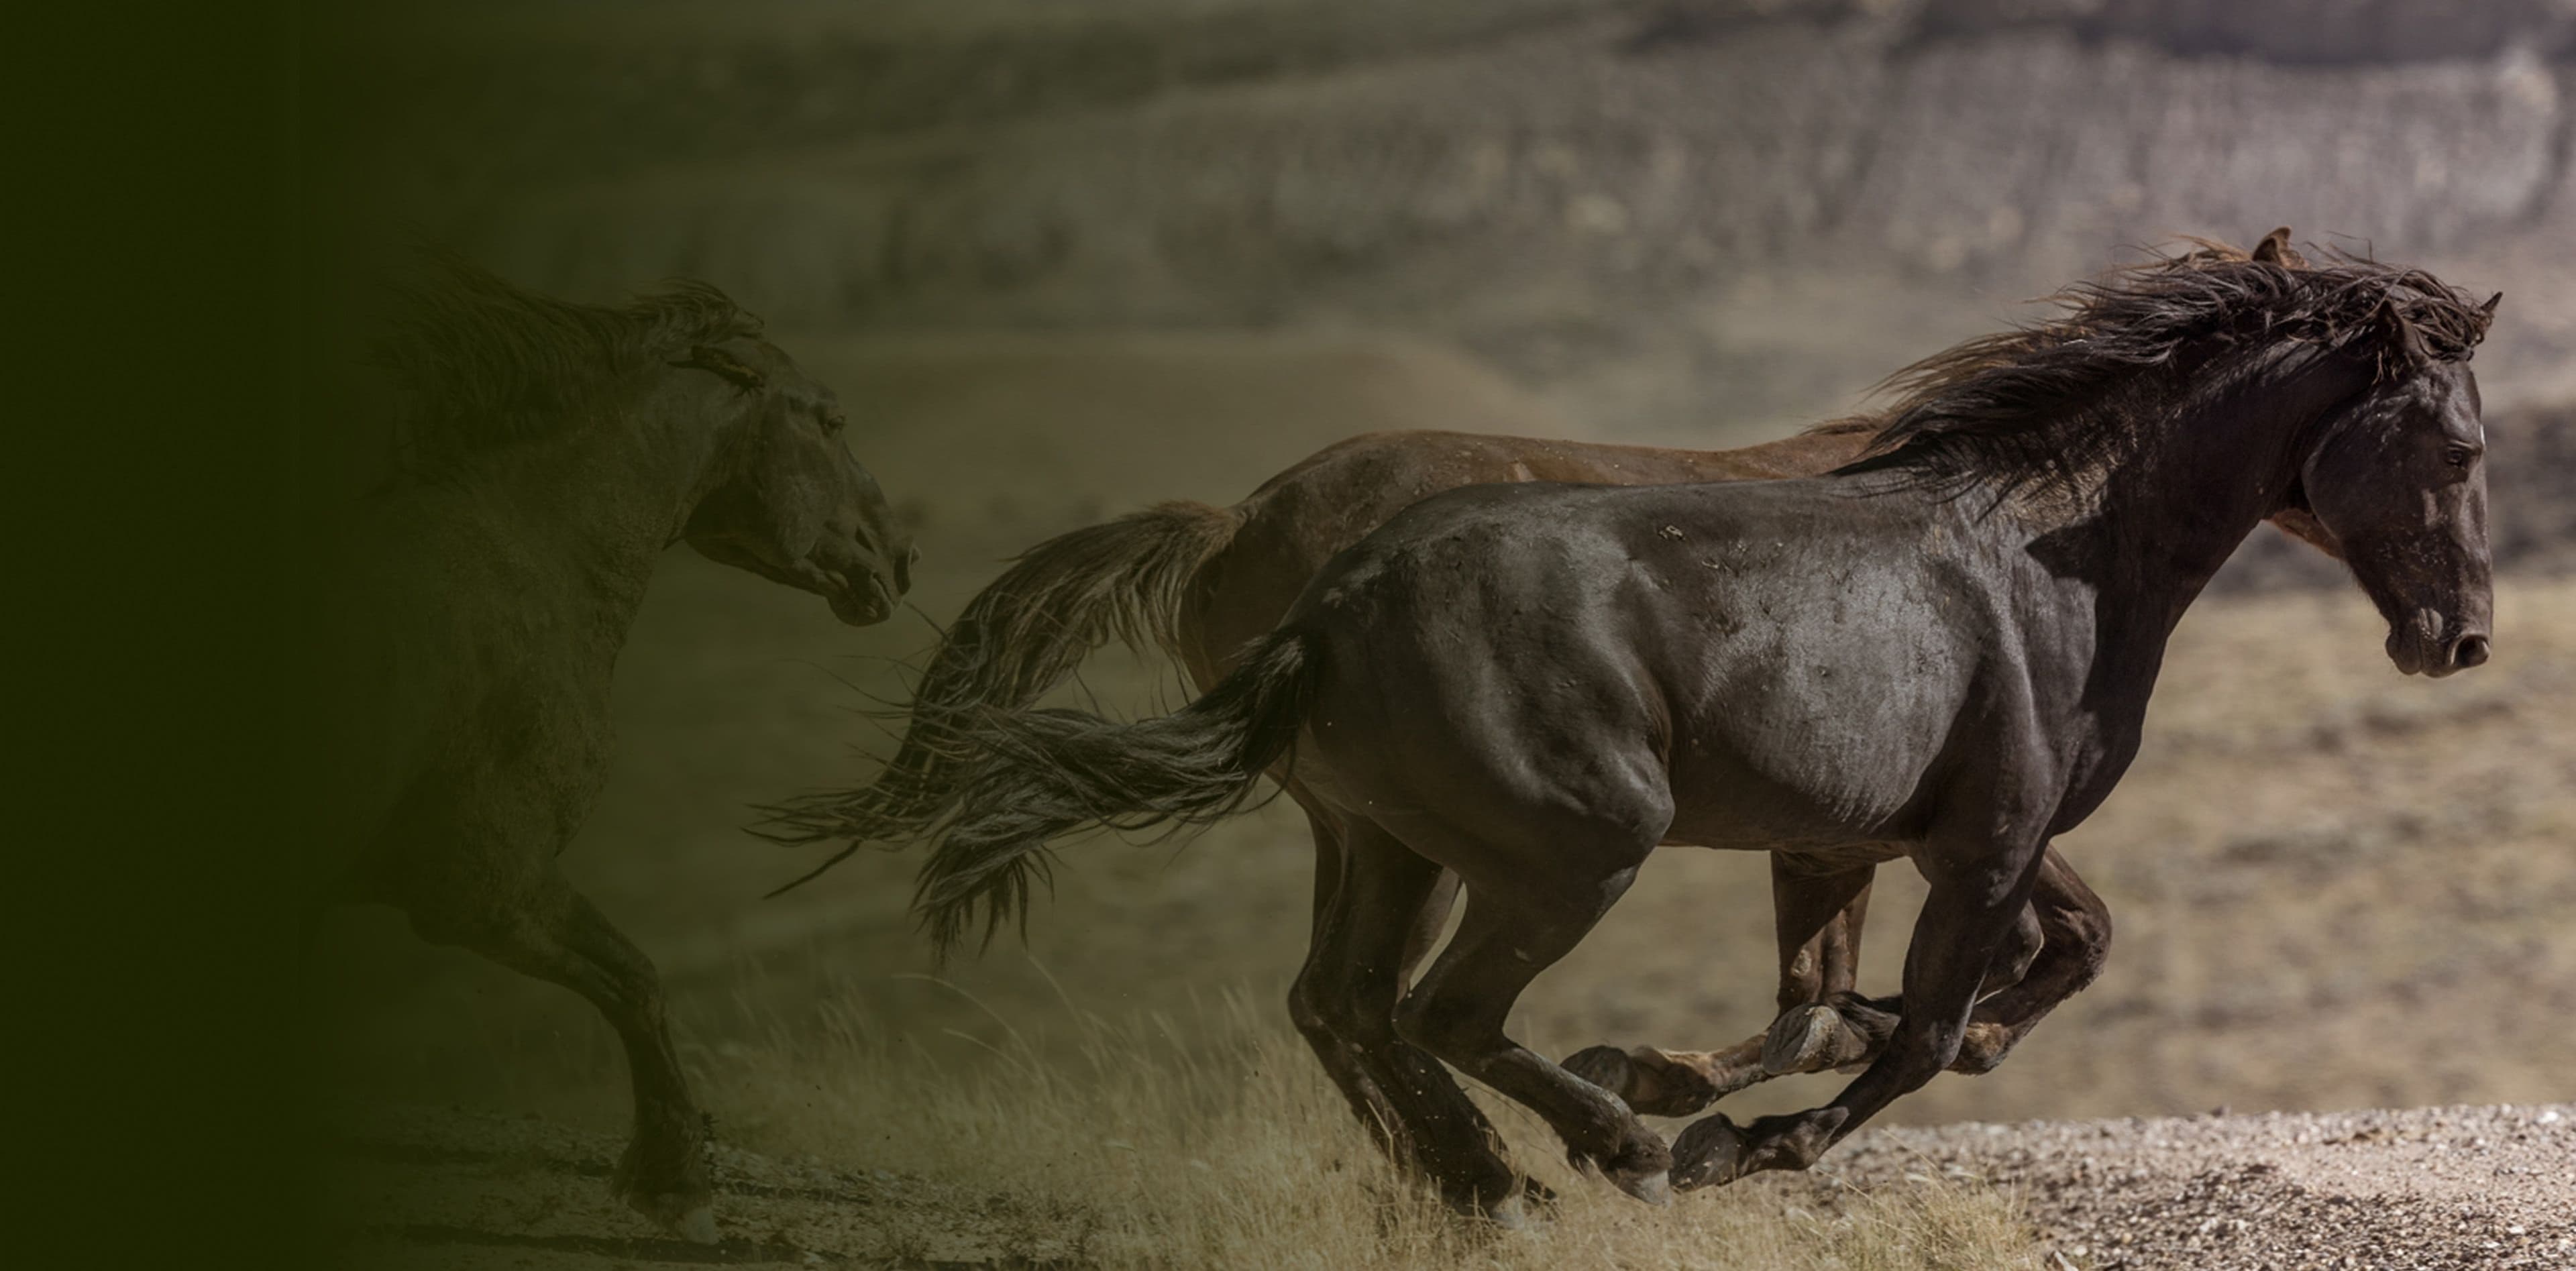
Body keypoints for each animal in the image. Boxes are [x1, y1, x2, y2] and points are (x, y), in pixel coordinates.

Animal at [323, 255, 916, 1241]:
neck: (525, 555)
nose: (898, 559)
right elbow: (637, 979)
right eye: (830, 418)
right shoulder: (484, 885)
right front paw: (677, 1182)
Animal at [901, 242, 2496, 1219]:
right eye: (2460, 443)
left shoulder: (1866, 840)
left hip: (1385, 841)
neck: (2049, 550)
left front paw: (1692, 1081)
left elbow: (1885, 992)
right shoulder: (1982, 844)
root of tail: (1312, 585)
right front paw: (1728, 1134)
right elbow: (1922, 1028)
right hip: (1575, 848)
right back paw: (1599, 1157)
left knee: (1344, 1000)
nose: (2460, 637)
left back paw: (1492, 1183)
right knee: (1435, 1011)